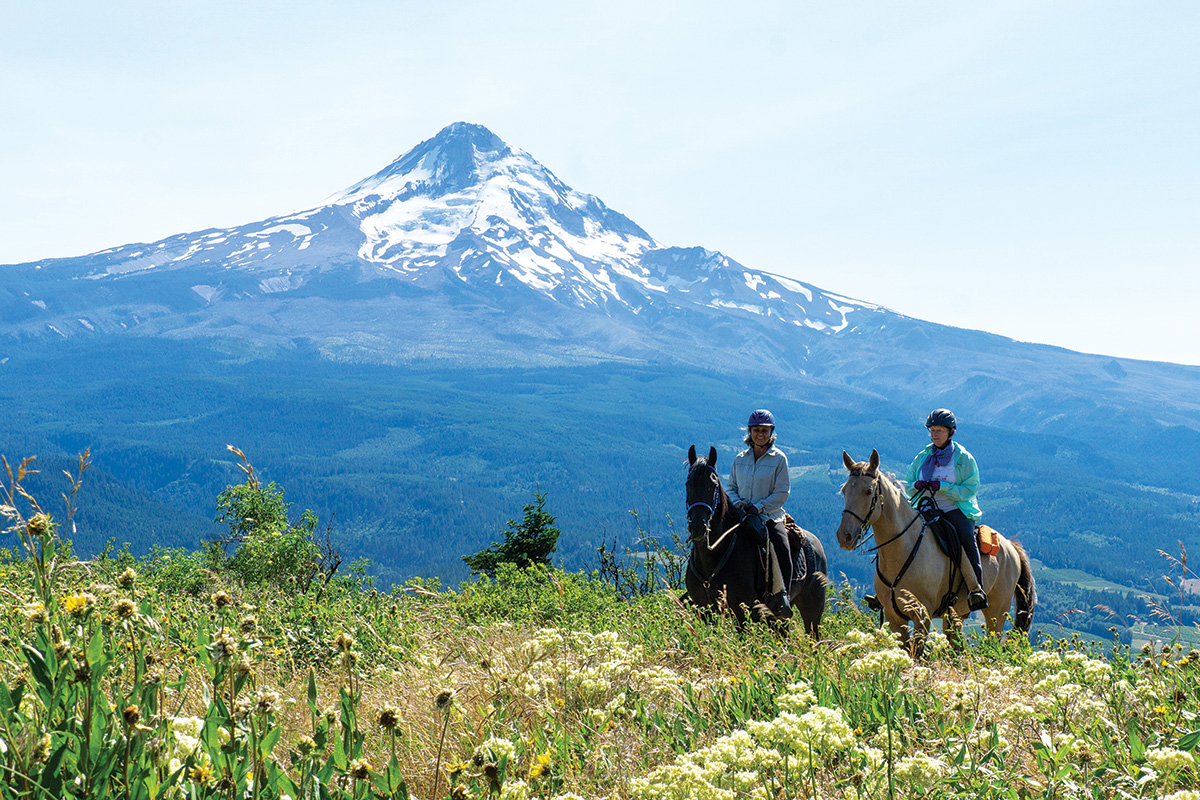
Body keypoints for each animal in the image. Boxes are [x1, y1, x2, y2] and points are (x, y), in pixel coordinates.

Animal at [686, 443, 825, 638]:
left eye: (712, 485)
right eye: (688, 484)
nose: (698, 527)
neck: (713, 557)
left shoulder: (743, 610)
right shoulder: (705, 610)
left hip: (813, 608)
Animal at [840, 450, 1036, 657]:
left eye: (868, 491)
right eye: (844, 491)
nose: (844, 537)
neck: (902, 549)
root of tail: (1011, 547)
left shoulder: (922, 616)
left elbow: (916, 655)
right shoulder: (894, 618)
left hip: (997, 614)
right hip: (956, 614)